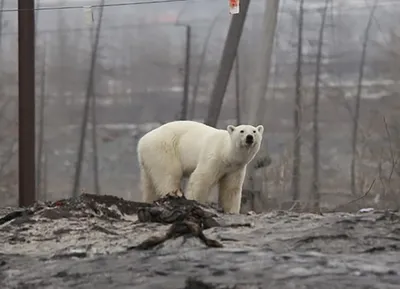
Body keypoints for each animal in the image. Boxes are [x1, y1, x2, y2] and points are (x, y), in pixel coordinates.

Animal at [136, 120, 264, 213]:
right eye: (242, 131)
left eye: (254, 131)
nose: (249, 137)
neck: (226, 153)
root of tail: (142, 141)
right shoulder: (214, 157)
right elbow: (201, 179)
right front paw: (194, 202)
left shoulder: (235, 168)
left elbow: (231, 188)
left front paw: (231, 211)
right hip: (164, 148)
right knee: (169, 174)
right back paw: (175, 194)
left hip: (148, 160)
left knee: (149, 184)